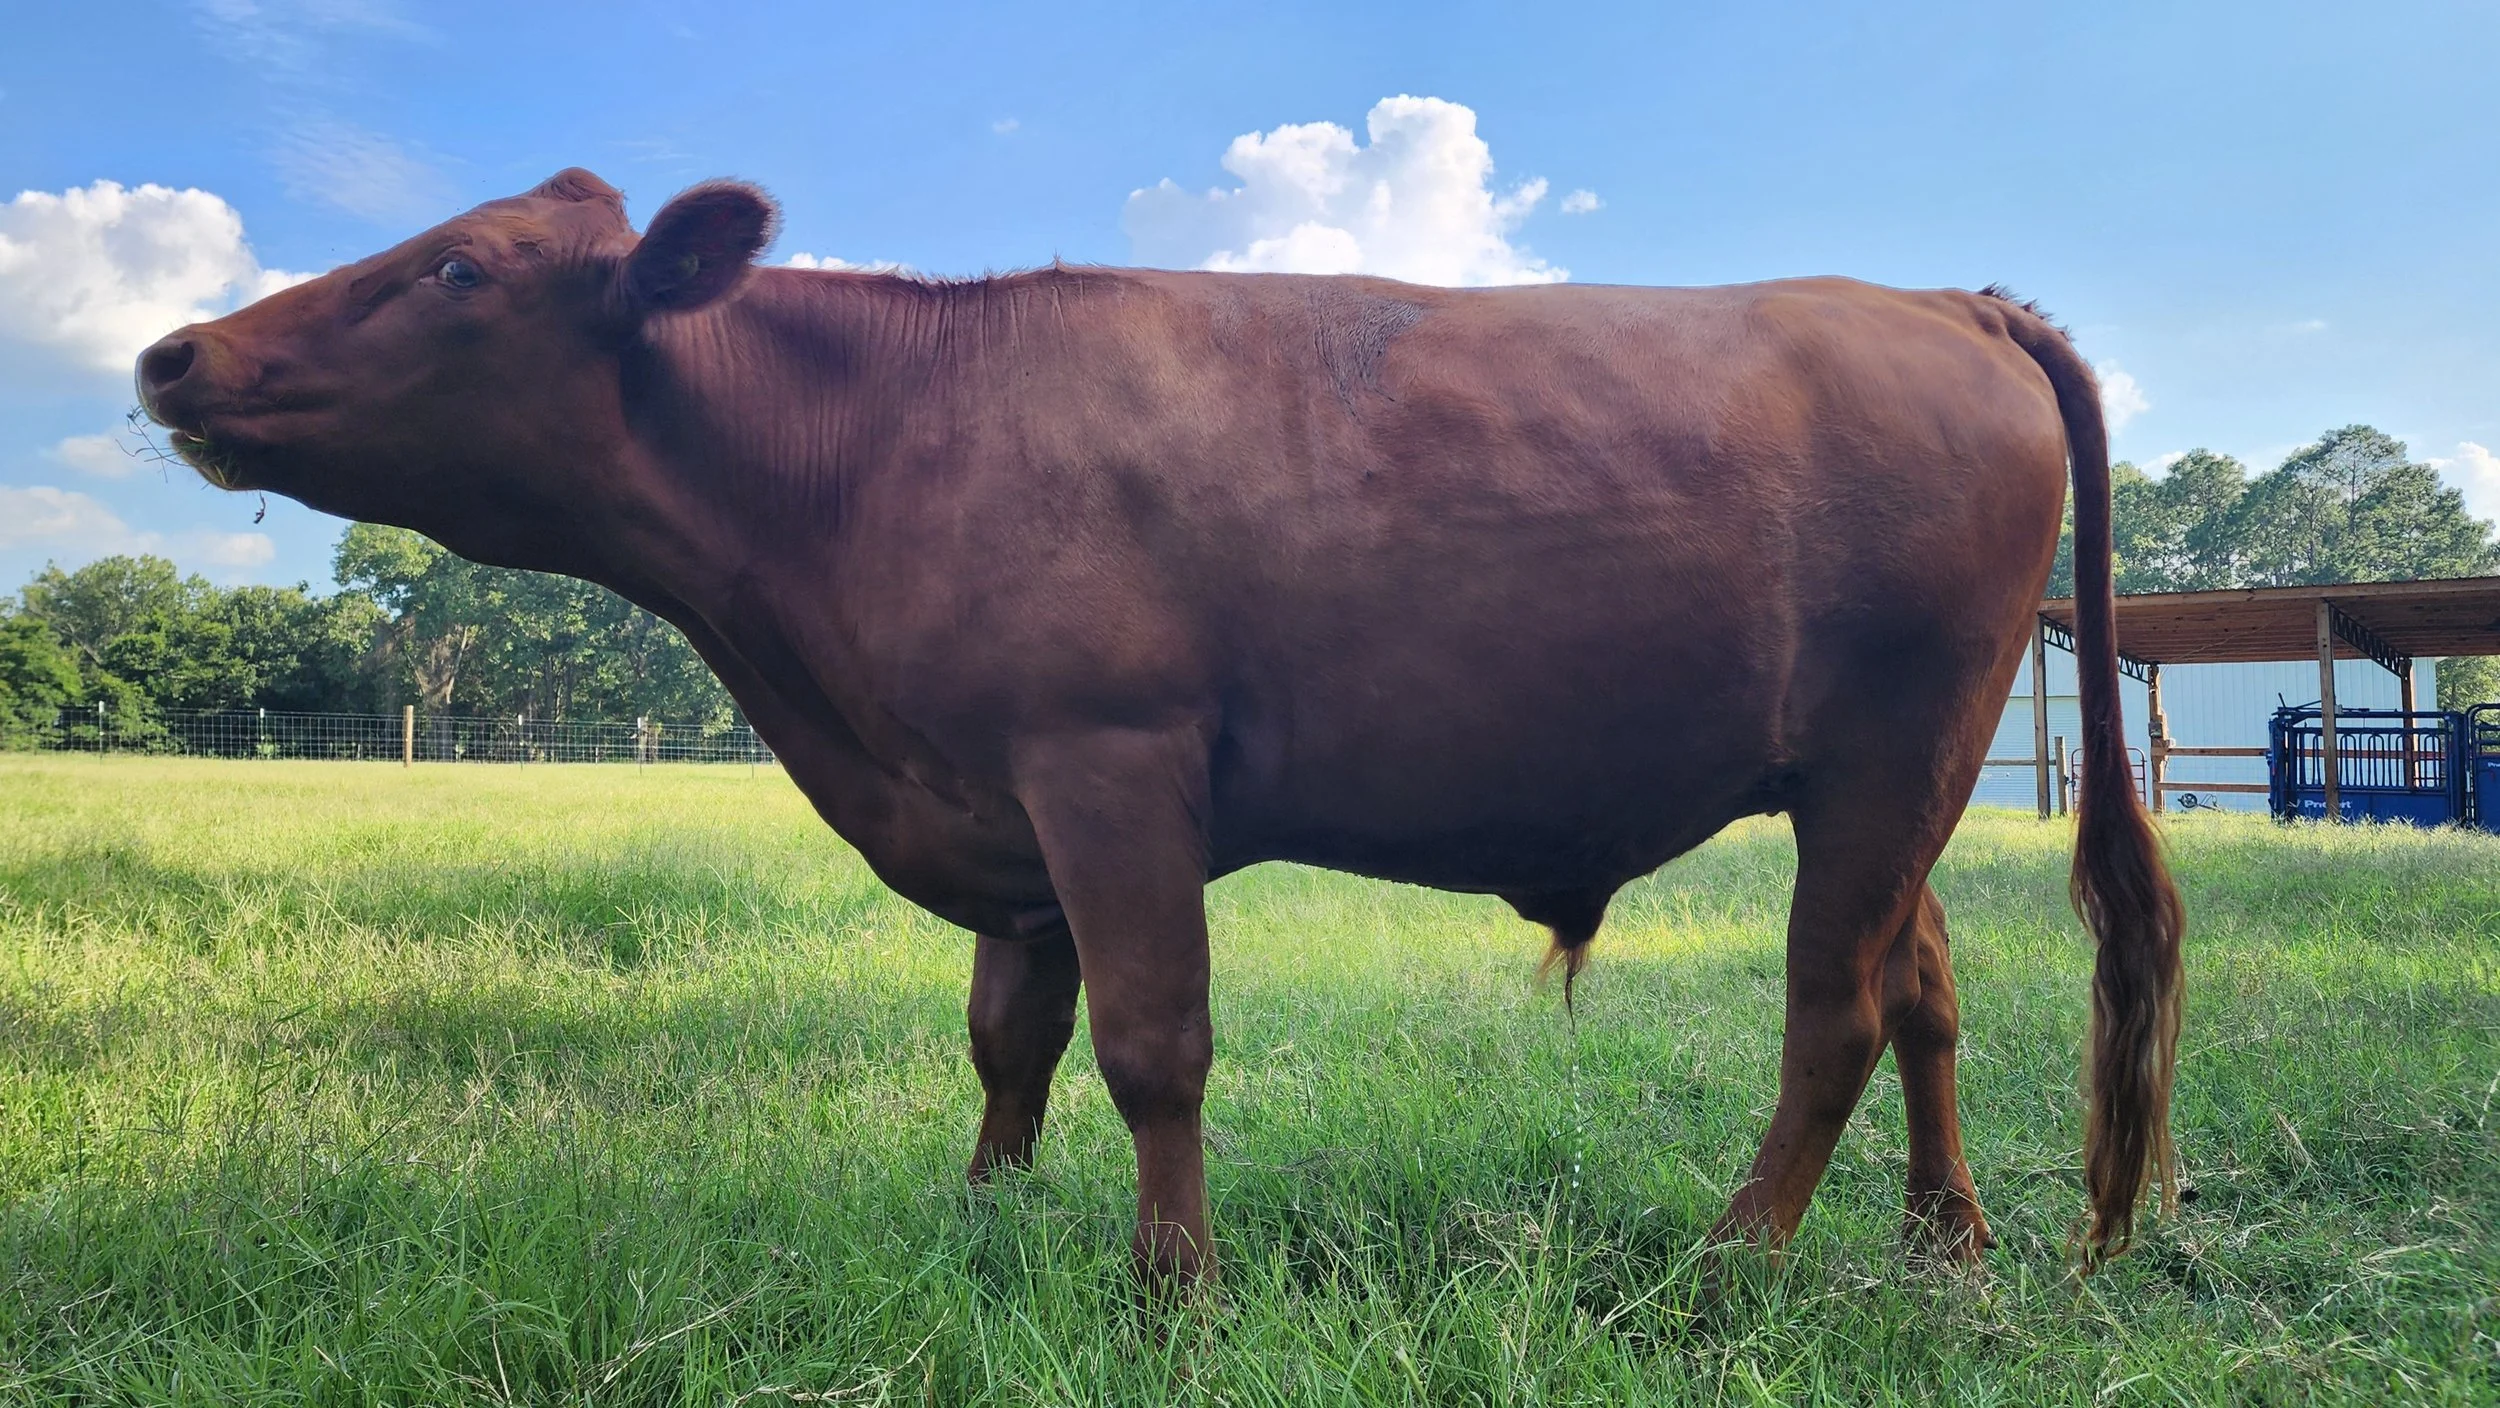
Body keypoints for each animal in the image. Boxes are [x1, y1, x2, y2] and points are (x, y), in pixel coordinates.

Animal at [136, 169, 2184, 1286]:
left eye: (458, 270)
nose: (170, 352)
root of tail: (1941, 299)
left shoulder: (1105, 764)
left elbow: (1151, 1046)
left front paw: (1171, 1286)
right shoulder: (1002, 809)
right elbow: (1008, 1040)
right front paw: (984, 1225)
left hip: (1895, 752)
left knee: (1832, 1008)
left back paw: (1725, 1268)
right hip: (1883, 781)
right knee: (1924, 991)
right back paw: (1943, 1242)